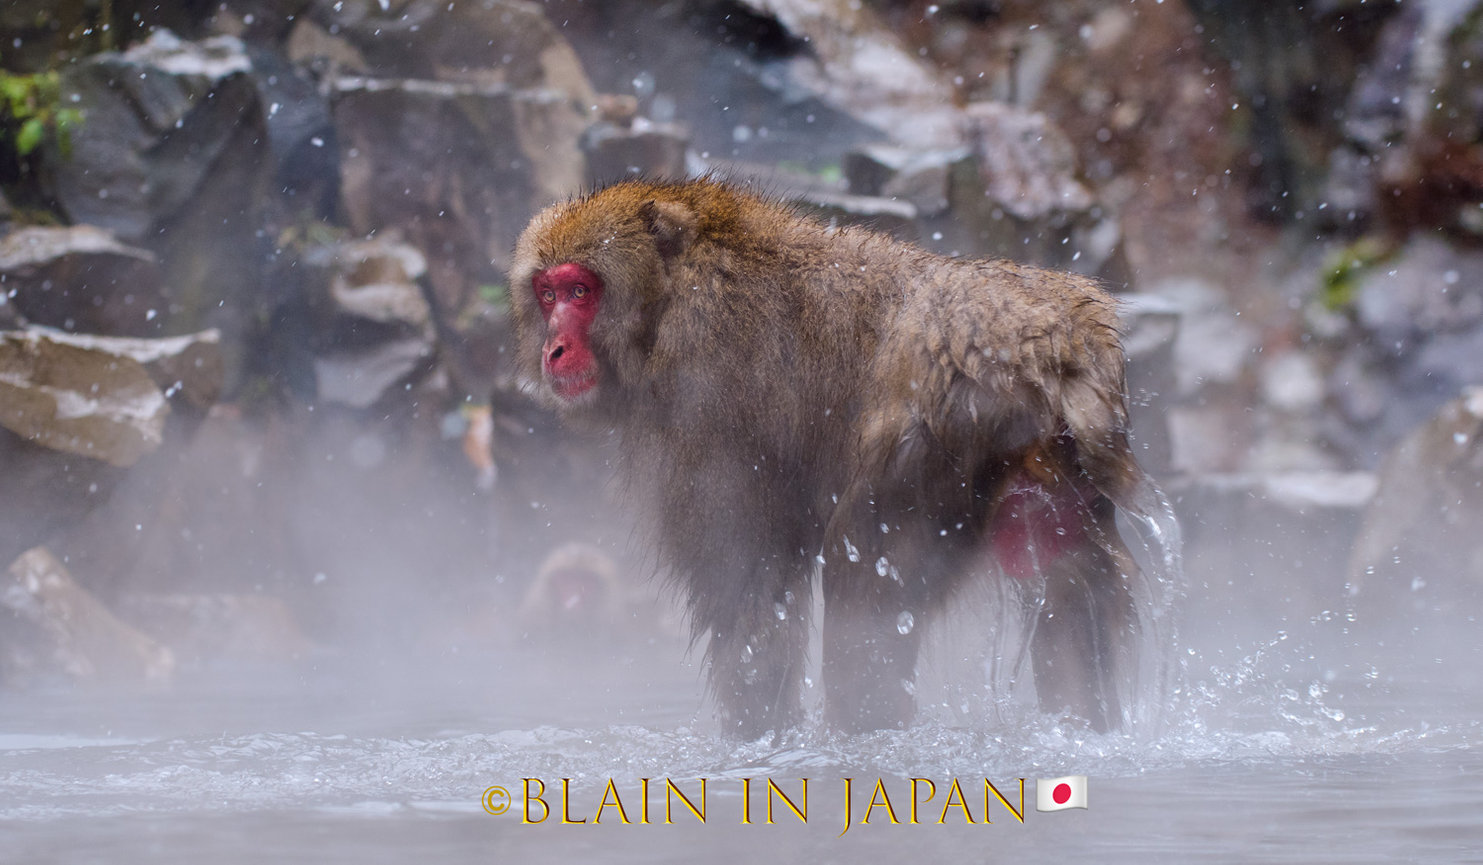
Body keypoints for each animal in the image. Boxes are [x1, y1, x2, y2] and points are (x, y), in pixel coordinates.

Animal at [508, 178, 1171, 738]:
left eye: (581, 290)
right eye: (547, 294)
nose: (554, 349)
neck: (674, 292)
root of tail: (1057, 344)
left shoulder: (702, 406)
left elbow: (751, 596)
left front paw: (758, 742)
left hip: (938, 434)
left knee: (868, 587)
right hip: (1060, 471)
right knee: (1074, 583)